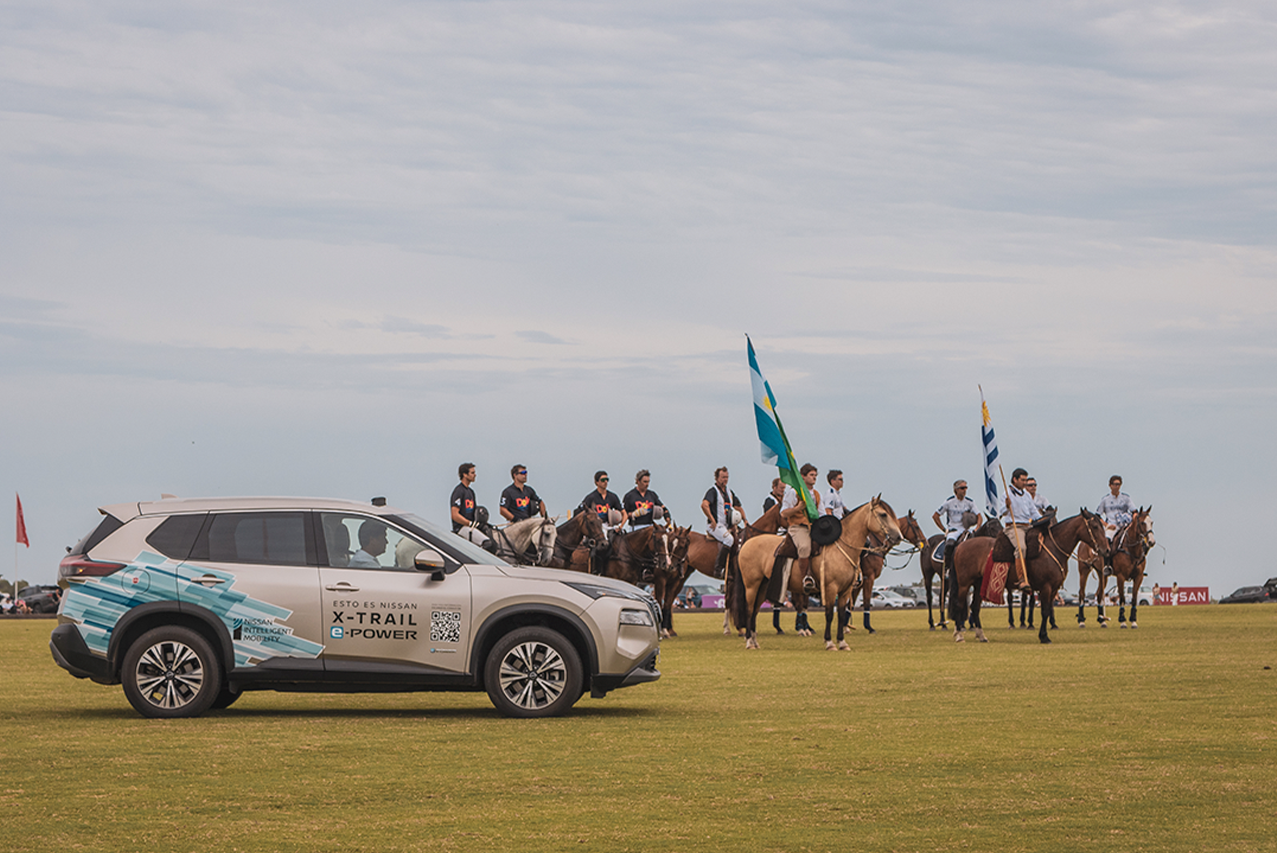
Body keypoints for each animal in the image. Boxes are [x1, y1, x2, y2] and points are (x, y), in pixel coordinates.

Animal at [730, 495, 909, 648]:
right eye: (883, 514)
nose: (898, 536)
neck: (841, 547)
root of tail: (745, 544)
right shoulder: (831, 588)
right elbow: (829, 614)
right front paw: (829, 642)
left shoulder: (845, 591)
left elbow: (841, 614)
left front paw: (842, 642)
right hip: (752, 586)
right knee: (749, 609)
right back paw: (749, 642)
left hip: (763, 586)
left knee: (755, 611)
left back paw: (755, 642)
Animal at [950, 510, 1108, 643]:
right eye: (1095, 526)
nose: (1105, 549)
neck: (1053, 549)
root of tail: (960, 546)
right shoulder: (1046, 587)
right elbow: (1044, 611)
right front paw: (1044, 637)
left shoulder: (1054, 589)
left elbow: (1048, 610)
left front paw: (1044, 634)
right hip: (964, 584)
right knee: (959, 605)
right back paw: (959, 635)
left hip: (979, 584)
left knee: (975, 607)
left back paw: (982, 636)